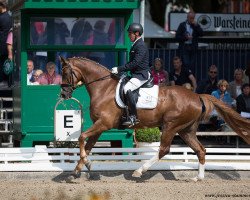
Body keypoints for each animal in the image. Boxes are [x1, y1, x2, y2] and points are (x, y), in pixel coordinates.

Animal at [60, 56, 250, 181]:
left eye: (66, 72)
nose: (63, 94)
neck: (104, 87)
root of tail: (197, 96)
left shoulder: (104, 124)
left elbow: (82, 137)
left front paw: (86, 164)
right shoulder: (99, 126)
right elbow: (88, 145)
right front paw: (79, 169)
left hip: (171, 126)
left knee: (164, 149)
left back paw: (139, 171)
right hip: (186, 130)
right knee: (200, 150)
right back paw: (198, 178)